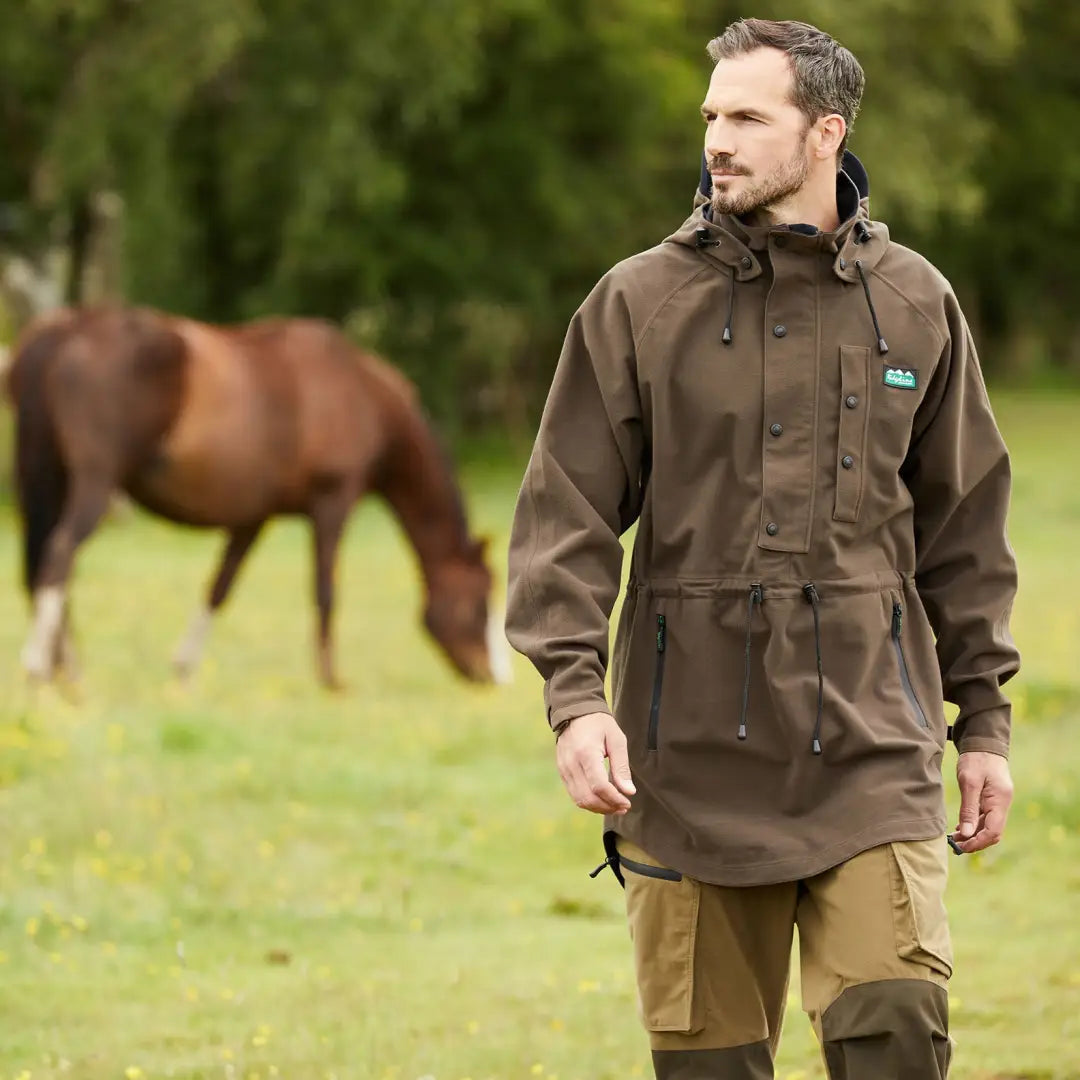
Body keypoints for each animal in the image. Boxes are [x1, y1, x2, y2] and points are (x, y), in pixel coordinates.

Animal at [6, 304, 507, 686]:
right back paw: (45, 666)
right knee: (59, 557)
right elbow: (325, 589)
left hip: (49, 481)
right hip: (93, 485)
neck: (361, 393)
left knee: (45, 565)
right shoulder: (333, 502)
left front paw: (185, 666)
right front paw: (331, 680)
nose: (492, 677)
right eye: (480, 600)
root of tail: (66, 330)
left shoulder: (252, 518)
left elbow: (219, 587)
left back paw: (64, 671)